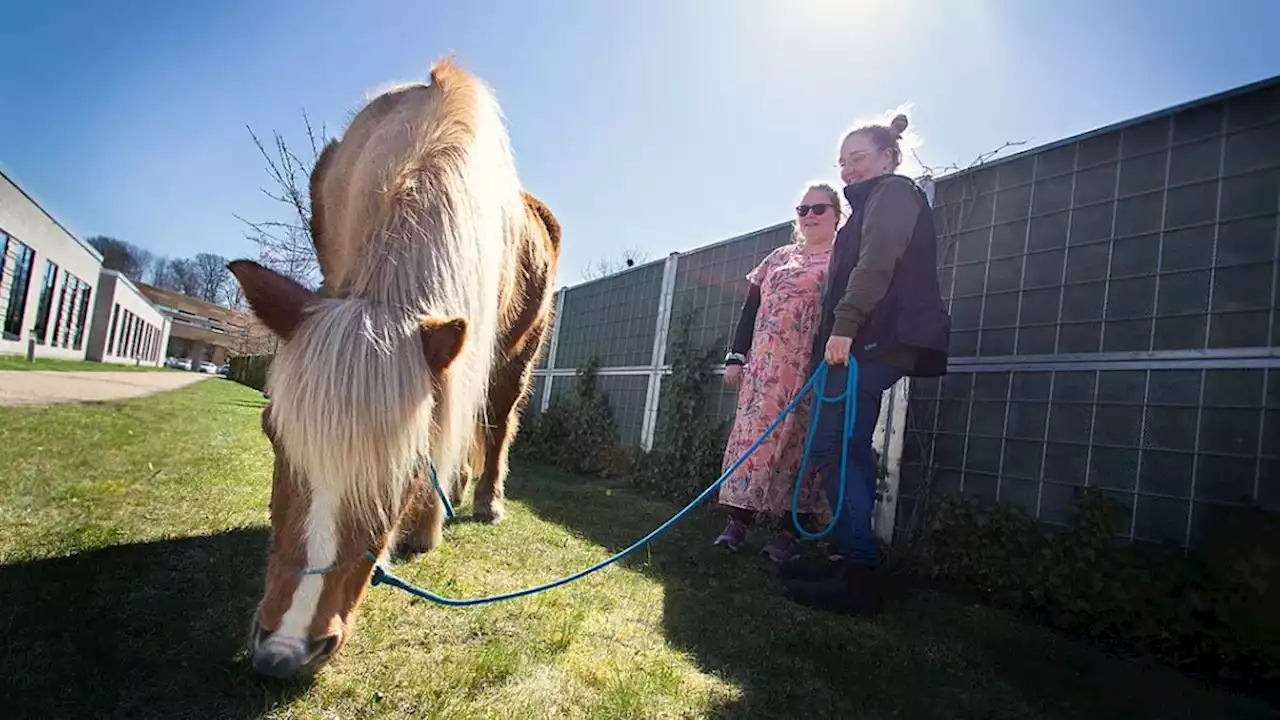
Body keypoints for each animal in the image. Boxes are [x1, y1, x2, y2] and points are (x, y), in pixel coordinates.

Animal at [229, 57, 555, 676]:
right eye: (270, 434)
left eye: (404, 468)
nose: (286, 650)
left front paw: (424, 527)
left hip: (515, 358)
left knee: (496, 422)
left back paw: (484, 501)